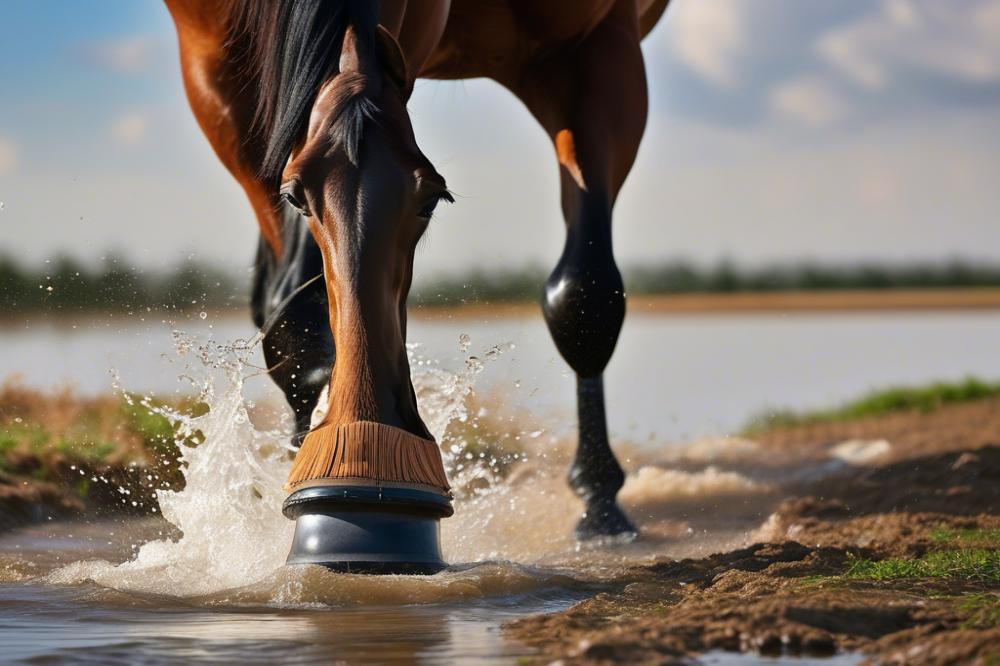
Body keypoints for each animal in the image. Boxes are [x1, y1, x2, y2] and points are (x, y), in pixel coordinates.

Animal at [164, 0, 668, 568]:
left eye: (433, 197)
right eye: (295, 194)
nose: (362, 507)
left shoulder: (595, 46)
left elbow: (585, 296)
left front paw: (601, 505)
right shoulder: (217, 74)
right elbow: (293, 322)